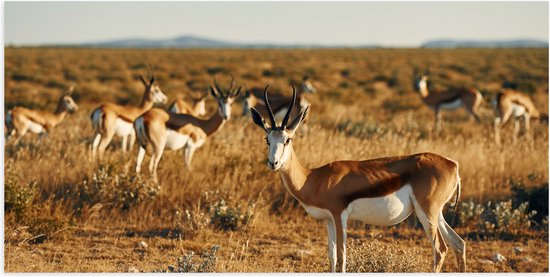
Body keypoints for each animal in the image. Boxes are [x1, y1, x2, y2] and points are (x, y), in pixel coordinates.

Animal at [252, 85, 468, 272]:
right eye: (267, 139)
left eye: (288, 139)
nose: (273, 163)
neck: (314, 179)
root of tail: (453, 164)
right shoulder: (328, 220)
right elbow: (331, 257)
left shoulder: (340, 215)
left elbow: (341, 257)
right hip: (436, 214)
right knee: (459, 243)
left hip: (427, 212)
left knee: (440, 249)